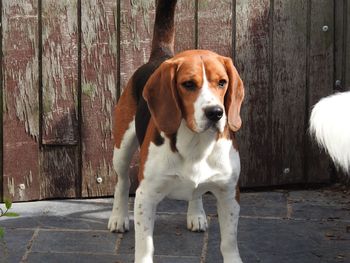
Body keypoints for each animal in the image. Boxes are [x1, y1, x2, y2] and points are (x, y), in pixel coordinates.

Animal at [108, 1, 243, 262]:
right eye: (188, 84)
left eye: (222, 82)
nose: (215, 113)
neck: (196, 144)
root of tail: (162, 56)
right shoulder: (146, 196)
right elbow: (145, 245)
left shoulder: (229, 194)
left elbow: (230, 242)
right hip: (121, 148)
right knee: (122, 181)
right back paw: (118, 217)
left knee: (196, 192)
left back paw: (196, 213)